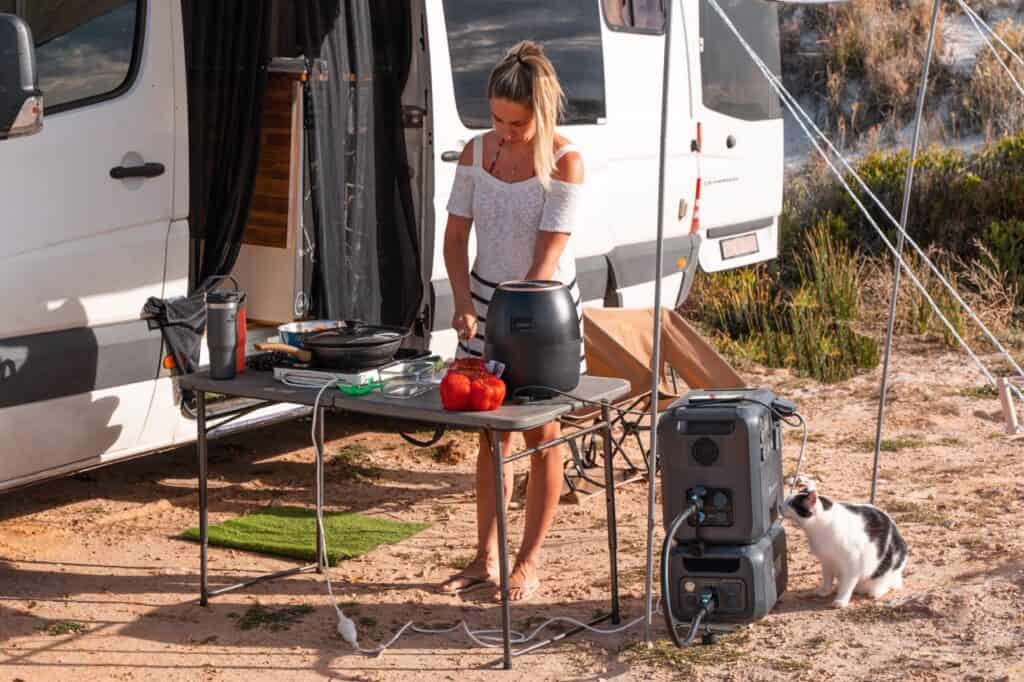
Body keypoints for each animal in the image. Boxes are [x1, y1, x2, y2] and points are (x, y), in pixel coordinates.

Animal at [782, 477, 913, 606]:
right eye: (788, 499)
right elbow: (827, 579)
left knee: (885, 584)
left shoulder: (852, 565)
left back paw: (875, 592)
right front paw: (825, 591)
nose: (780, 505)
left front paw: (841, 600)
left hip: (886, 571)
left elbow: (847, 585)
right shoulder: (826, 561)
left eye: (792, 504)